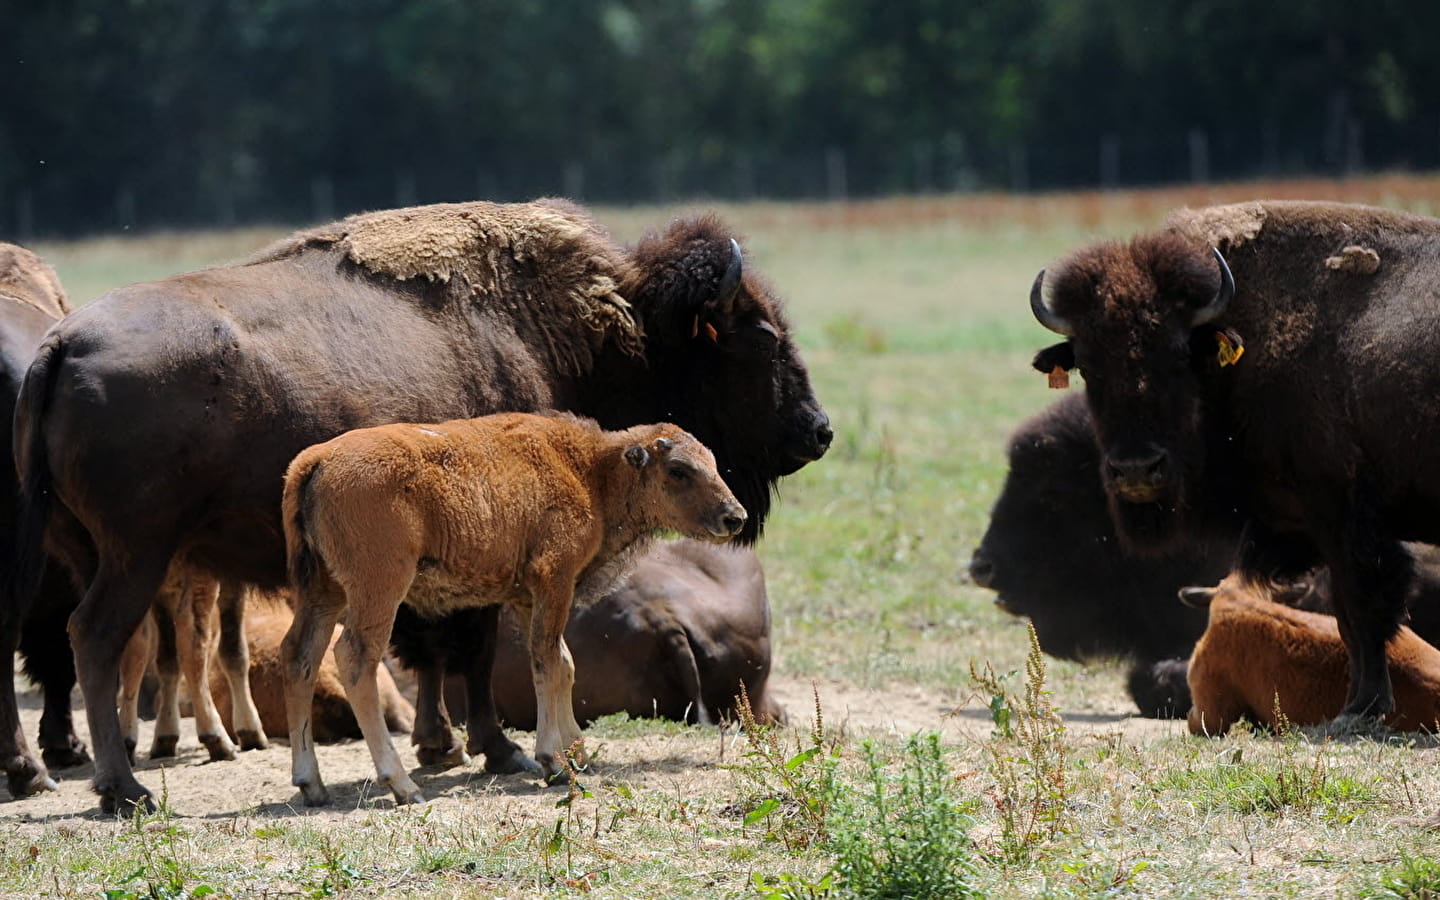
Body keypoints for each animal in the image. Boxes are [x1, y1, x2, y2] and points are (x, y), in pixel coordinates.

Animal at [279, 411, 743, 806]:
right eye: (678, 470)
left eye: (713, 463)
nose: (734, 517)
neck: (590, 470)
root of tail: (317, 460)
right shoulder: (553, 580)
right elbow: (548, 664)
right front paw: (554, 761)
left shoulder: (526, 597)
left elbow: (562, 663)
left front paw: (577, 753)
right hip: (378, 590)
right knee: (356, 661)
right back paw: (403, 786)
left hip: (322, 592)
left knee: (300, 659)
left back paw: (311, 785)